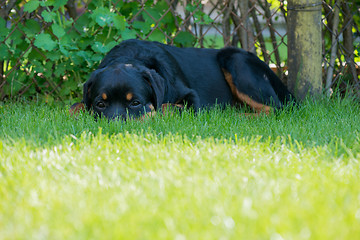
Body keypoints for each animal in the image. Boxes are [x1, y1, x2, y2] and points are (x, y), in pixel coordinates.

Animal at [74, 39, 294, 120]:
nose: (115, 124)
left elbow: (165, 106)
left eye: (135, 103)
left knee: (275, 108)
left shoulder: (193, 99)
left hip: (235, 60)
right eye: (100, 104)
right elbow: (74, 106)